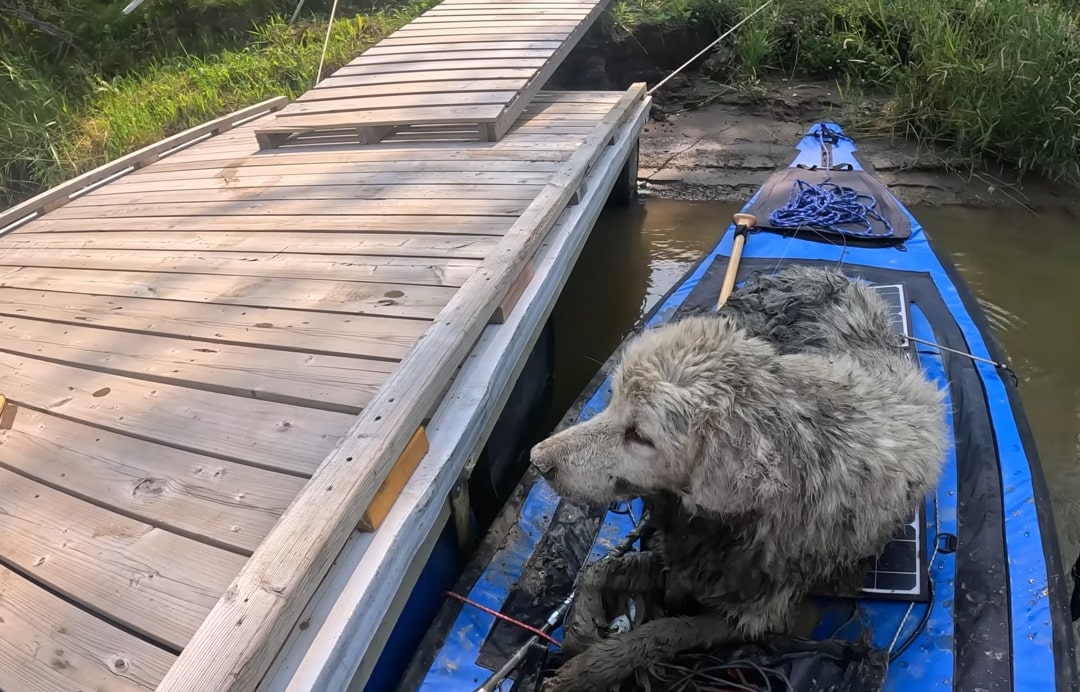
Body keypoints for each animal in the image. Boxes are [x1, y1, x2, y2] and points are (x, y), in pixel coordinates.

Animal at [529, 267, 946, 690]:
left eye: (640, 435)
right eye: (611, 400)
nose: (537, 459)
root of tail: (824, 270)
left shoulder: (750, 613)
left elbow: (661, 633)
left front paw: (586, 669)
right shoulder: (679, 558)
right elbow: (598, 571)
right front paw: (582, 629)